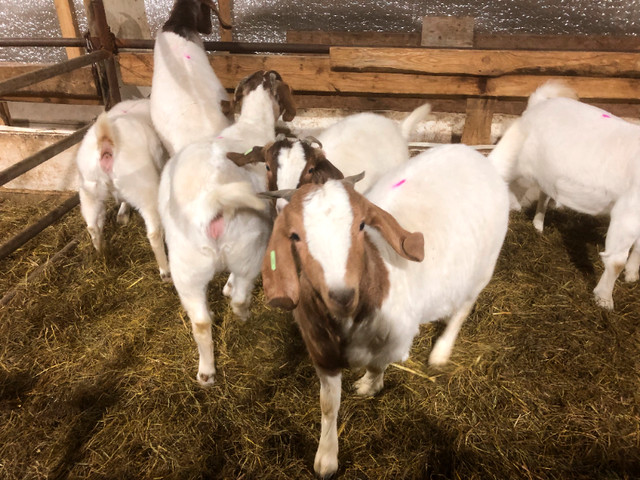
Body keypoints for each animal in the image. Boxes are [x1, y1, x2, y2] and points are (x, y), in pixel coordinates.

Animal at [76, 98, 170, 282]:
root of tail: (106, 144)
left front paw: (122, 214)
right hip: (144, 190)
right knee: (154, 234)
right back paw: (165, 271)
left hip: (89, 190)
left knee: (92, 226)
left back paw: (102, 252)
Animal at [162, 70, 298, 386]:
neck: (250, 125)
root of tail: (212, 203)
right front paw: (229, 288)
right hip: (249, 251)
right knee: (239, 299)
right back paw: (245, 316)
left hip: (186, 270)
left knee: (200, 322)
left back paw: (206, 372)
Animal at [488, 80, 640, 310]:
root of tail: (538, 103)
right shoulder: (627, 214)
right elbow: (616, 262)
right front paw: (604, 299)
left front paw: (632, 275)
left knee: (544, 193)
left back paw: (538, 225)